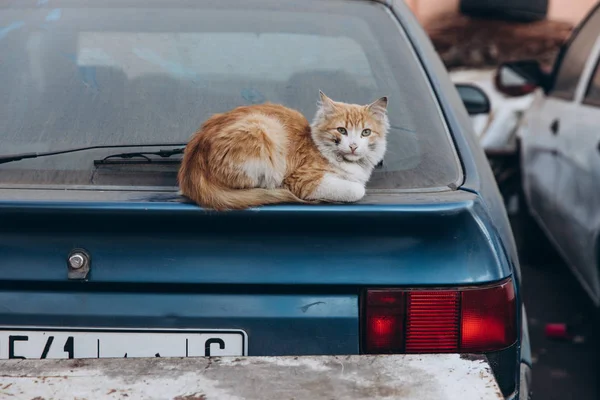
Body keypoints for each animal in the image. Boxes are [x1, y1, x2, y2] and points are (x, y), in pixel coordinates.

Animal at [178, 90, 390, 209]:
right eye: (342, 130)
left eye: (365, 132)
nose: (353, 146)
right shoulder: (303, 179)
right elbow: (356, 190)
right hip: (264, 130)